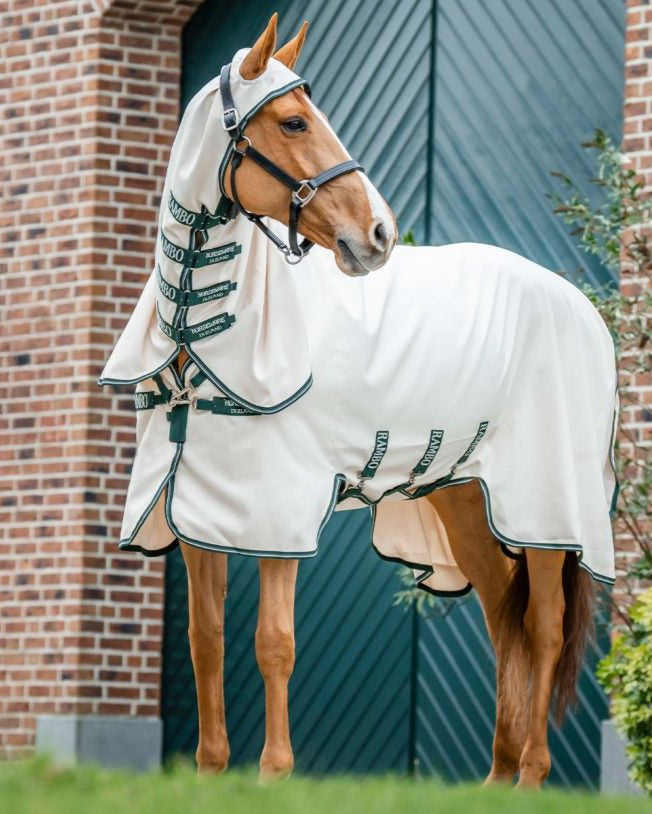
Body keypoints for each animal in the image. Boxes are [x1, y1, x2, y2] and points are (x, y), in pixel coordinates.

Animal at [99, 14, 617, 788]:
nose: (378, 235)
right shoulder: (197, 510)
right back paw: (497, 782)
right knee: (504, 615)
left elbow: (273, 641)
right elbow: (207, 638)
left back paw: (531, 775)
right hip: (463, 497)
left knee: (545, 625)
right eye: (292, 121)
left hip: (547, 509)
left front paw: (274, 776)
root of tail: (578, 305)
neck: (205, 330)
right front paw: (211, 774)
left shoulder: (276, 509)